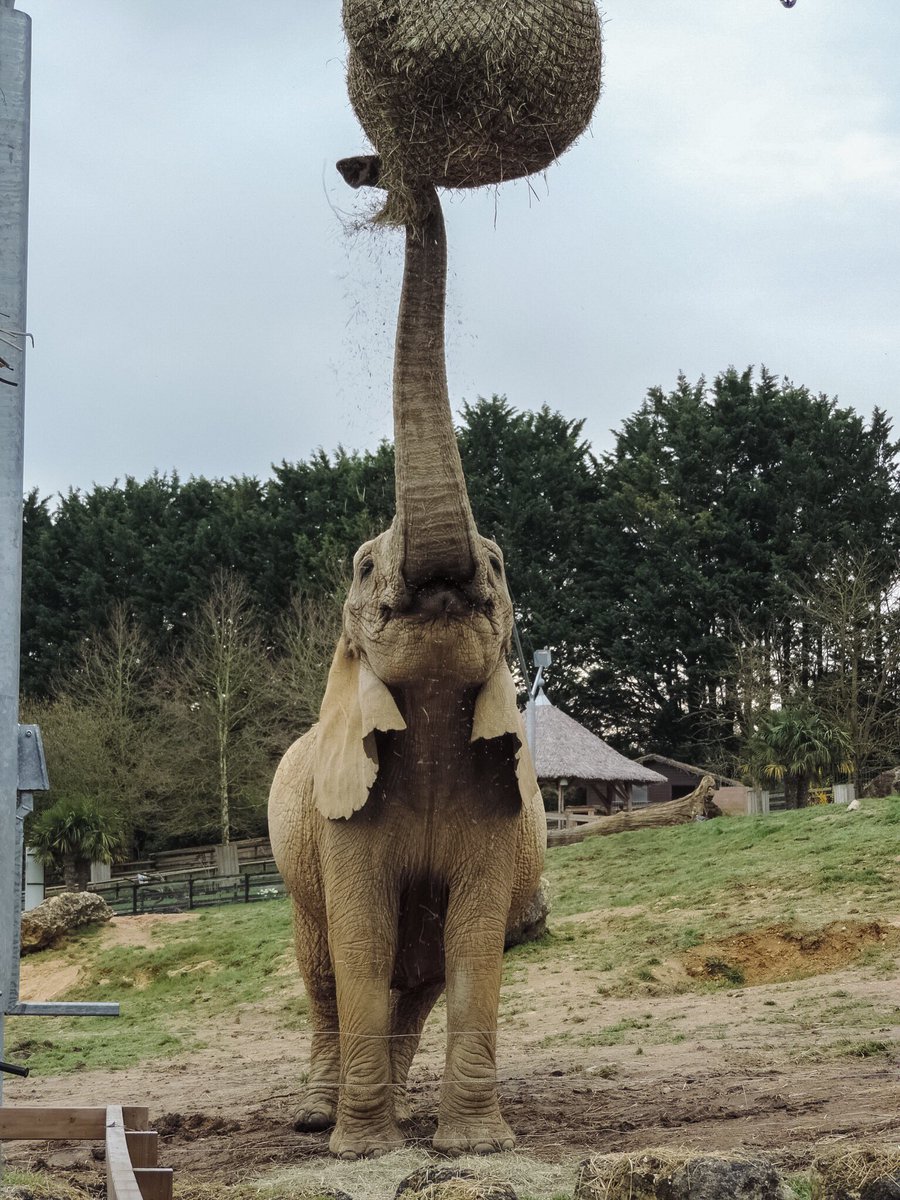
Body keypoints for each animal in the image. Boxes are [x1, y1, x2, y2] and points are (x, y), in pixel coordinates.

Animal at [268, 171, 546, 1160]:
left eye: (497, 563)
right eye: (359, 568)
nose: (376, 169)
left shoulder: (500, 806)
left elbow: (472, 941)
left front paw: (476, 1147)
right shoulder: (338, 817)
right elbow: (359, 939)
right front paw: (363, 1151)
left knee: (417, 979)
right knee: (322, 971)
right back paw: (321, 1117)